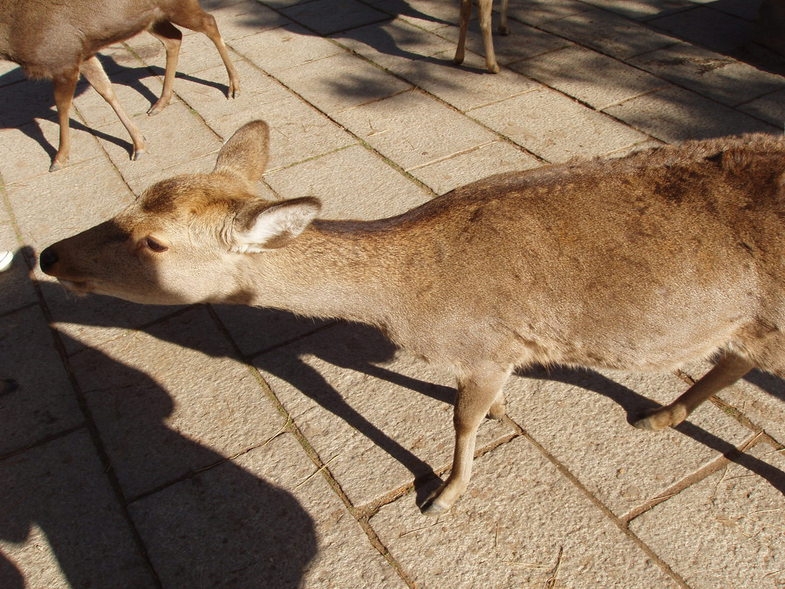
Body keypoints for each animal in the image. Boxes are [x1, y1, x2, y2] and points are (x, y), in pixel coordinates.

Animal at [0, 0, 239, 171]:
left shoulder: (62, 58)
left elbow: (62, 106)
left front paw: (59, 158)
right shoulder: (83, 53)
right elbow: (105, 89)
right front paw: (139, 144)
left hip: (176, 6)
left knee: (209, 22)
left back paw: (233, 85)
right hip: (152, 18)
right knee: (174, 38)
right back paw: (161, 101)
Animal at [41, 121, 784, 512]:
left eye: (154, 243)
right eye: (132, 200)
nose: (49, 253)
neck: (406, 301)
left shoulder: (484, 343)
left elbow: (460, 418)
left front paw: (443, 495)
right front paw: (504, 417)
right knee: (731, 357)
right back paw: (658, 414)